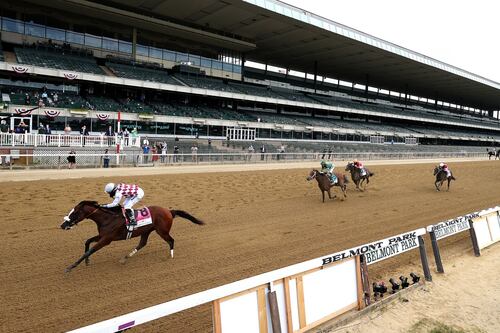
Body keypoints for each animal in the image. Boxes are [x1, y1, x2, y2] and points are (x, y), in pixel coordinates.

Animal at [59, 201, 204, 272]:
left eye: (75, 213)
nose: (63, 225)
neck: (107, 218)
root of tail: (169, 211)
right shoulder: (102, 235)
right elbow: (87, 241)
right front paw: (87, 261)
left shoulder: (106, 239)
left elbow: (90, 250)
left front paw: (71, 267)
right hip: (146, 231)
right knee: (142, 244)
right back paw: (125, 258)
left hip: (162, 231)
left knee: (171, 240)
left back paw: (171, 256)